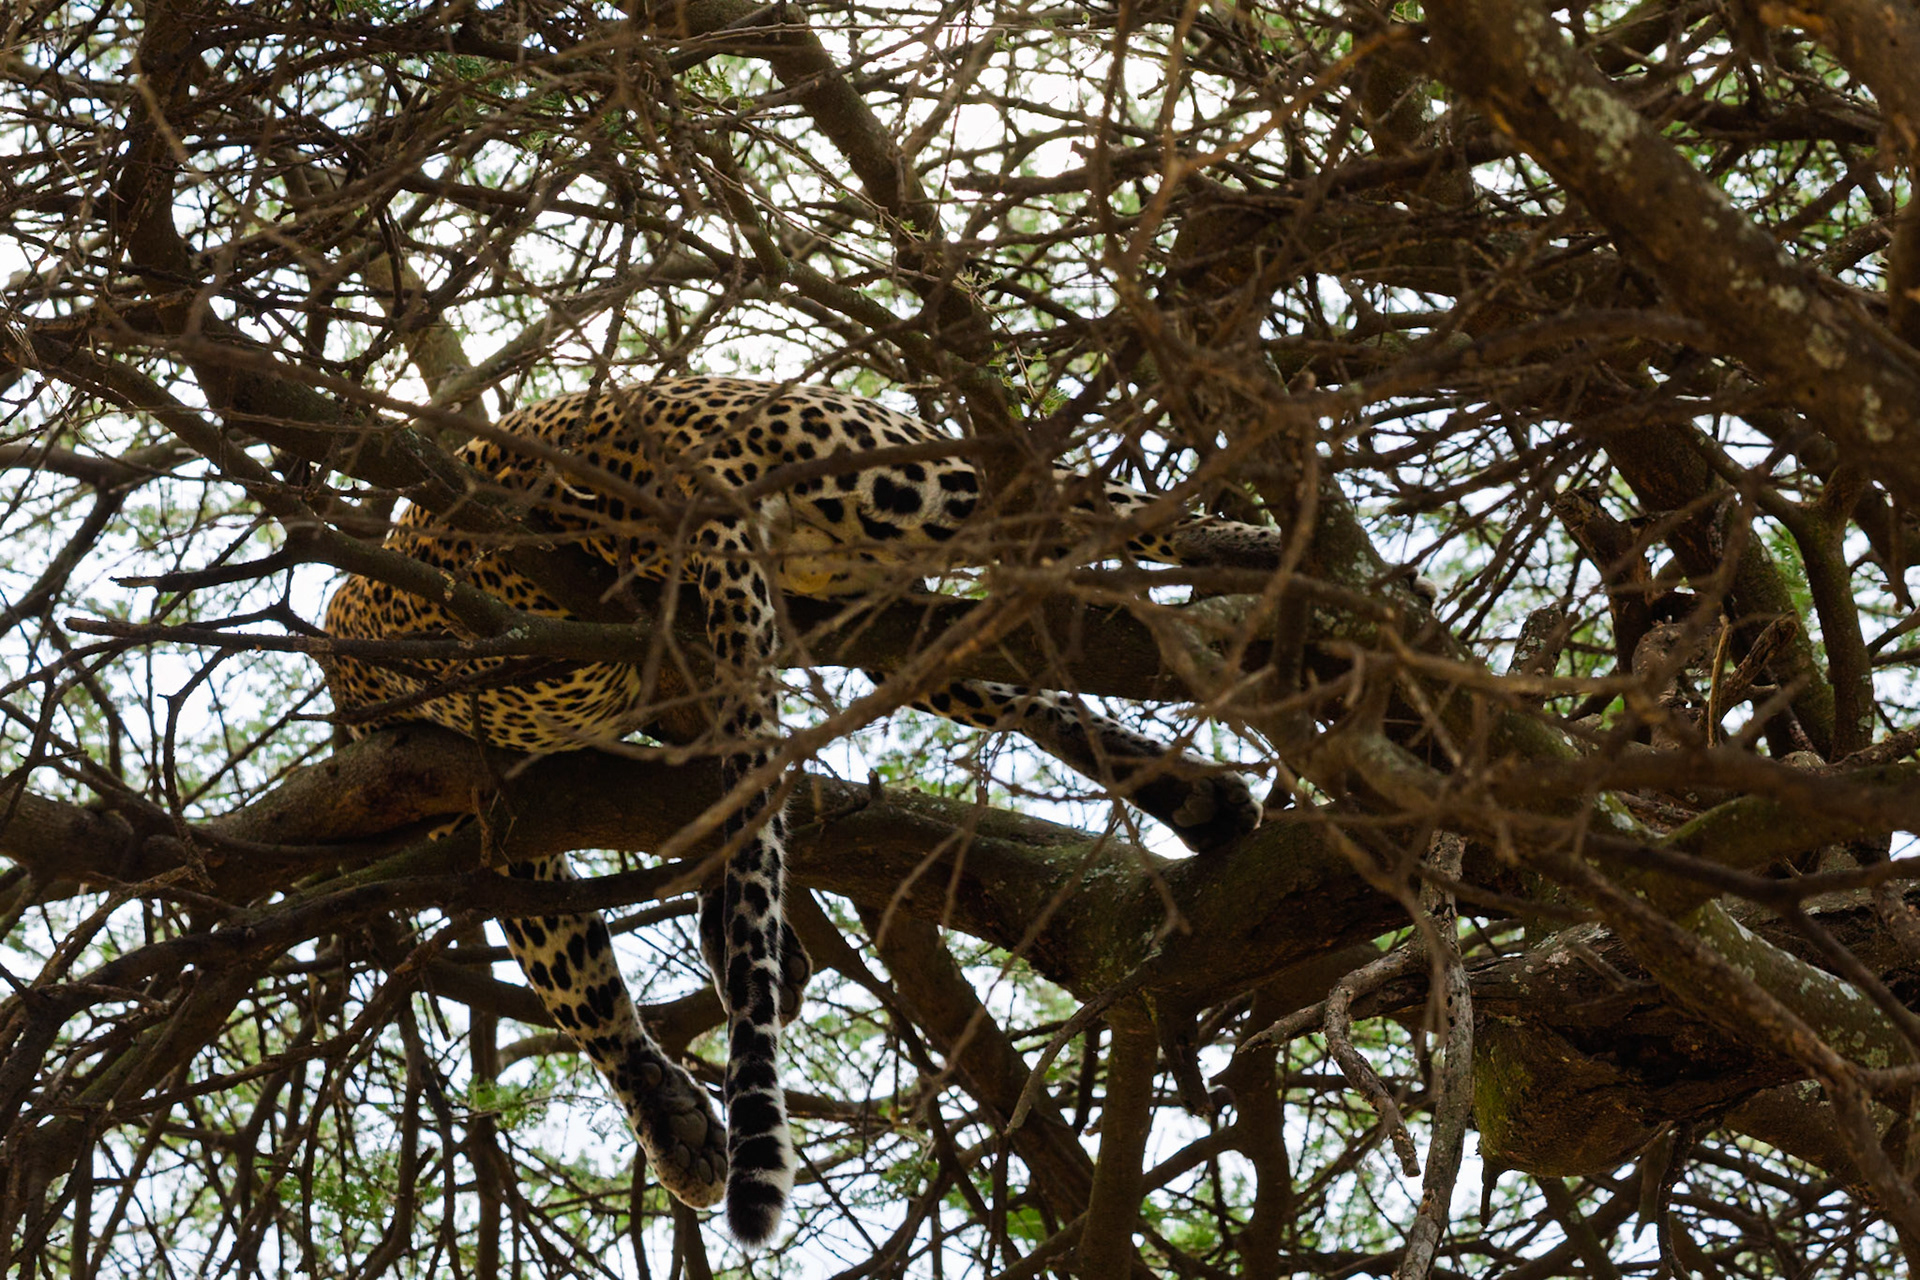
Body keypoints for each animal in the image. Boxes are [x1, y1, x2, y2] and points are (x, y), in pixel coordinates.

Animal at [320, 375, 1284, 1246]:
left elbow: (591, 954)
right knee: (1033, 631)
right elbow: (583, 972)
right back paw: (1199, 775)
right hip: (875, 534)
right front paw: (675, 1113)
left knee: (1086, 511)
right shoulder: (519, 806)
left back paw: (1253, 552)